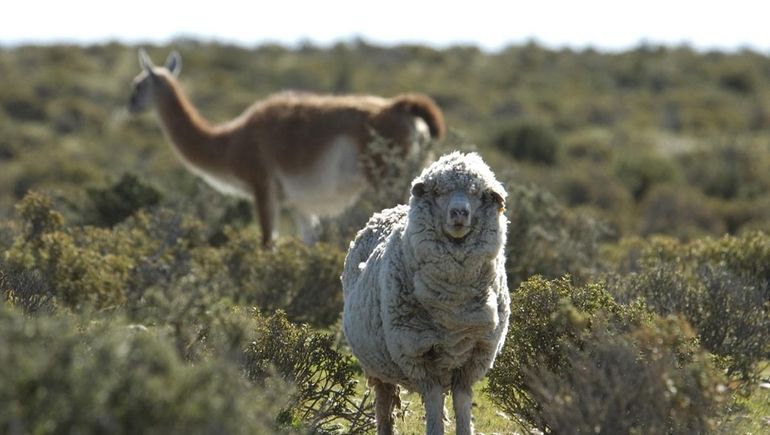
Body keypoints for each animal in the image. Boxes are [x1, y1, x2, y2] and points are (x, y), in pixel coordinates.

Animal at [127, 49, 444, 247]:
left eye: (138, 85)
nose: (129, 106)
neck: (229, 142)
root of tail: (399, 107)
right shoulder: (298, 202)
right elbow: (309, 244)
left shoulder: (262, 186)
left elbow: (268, 242)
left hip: (386, 178)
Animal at [342, 152, 510, 434]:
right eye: (439, 192)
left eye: (478, 194)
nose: (459, 212)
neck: (454, 305)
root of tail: (388, 210)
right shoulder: (418, 355)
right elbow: (432, 401)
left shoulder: (474, 357)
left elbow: (462, 403)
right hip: (378, 367)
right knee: (384, 406)